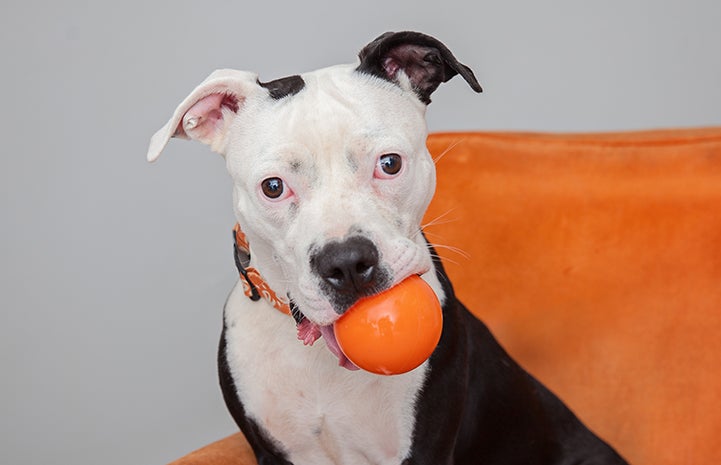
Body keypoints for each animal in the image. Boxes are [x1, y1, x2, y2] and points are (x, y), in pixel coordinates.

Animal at [148, 30, 632, 462]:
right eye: (273, 187)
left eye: (390, 163)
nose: (346, 263)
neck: (322, 358)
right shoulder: (271, 453)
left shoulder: (425, 450)